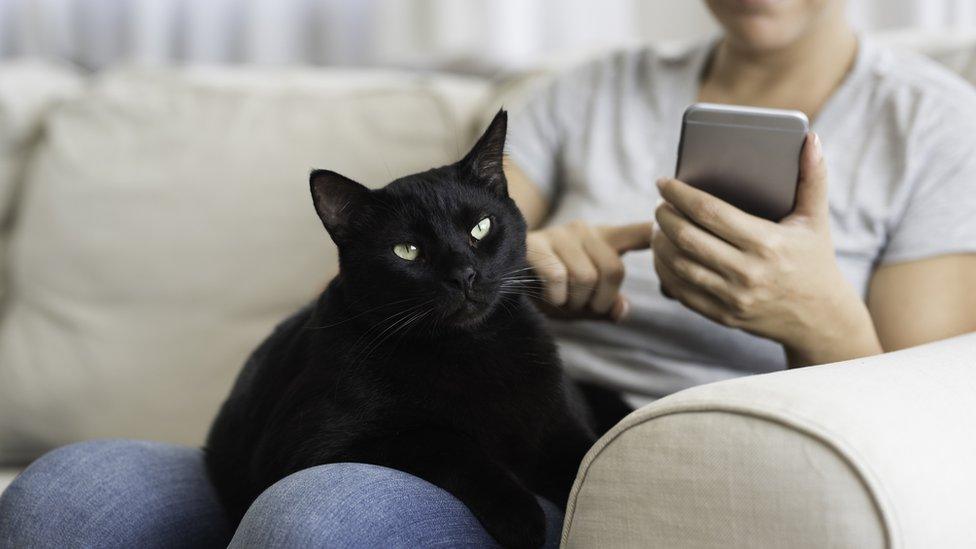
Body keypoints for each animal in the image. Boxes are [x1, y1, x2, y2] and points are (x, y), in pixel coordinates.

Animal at [206, 109, 632, 544]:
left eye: (481, 228)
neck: (471, 350)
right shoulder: (313, 446)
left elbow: (590, 466)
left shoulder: (560, 430)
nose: (464, 275)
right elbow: (444, 443)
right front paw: (520, 514)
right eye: (407, 251)